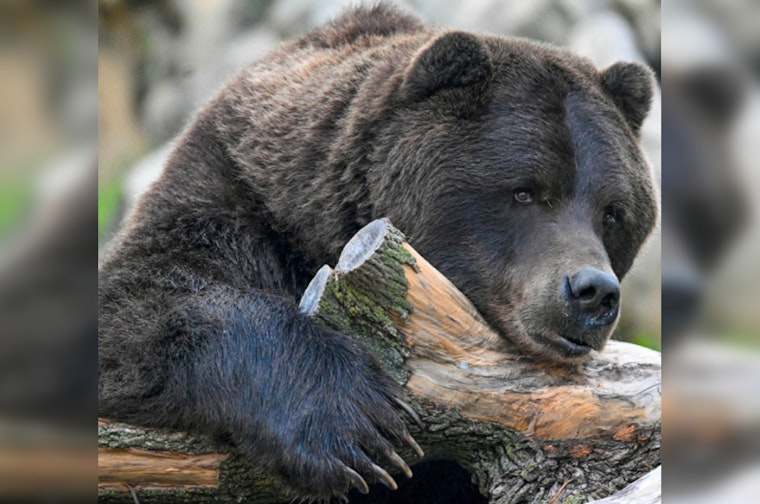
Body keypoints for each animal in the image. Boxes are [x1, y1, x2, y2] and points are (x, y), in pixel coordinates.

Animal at [98, 3, 658, 501]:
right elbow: (140, 301)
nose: (592, 291)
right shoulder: (229, 193)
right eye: (525, 191)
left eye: (613, 212)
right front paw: (357, 424)